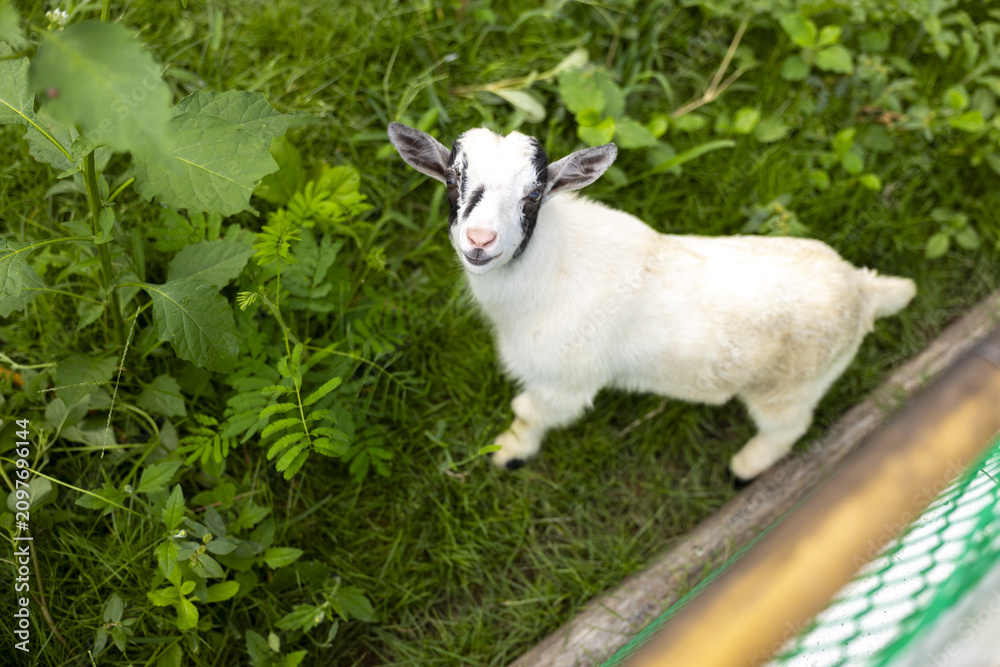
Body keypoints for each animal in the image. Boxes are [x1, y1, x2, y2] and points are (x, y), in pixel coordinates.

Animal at [387, 123, 916, 479]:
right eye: (452, 180)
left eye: (534, 194)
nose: (481, 240)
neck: (548, 270)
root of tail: (863, 288)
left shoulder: (565, 381)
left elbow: (532, 414)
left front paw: (507, 453)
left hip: (791, 388)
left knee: (788, 427)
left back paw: (744, 467)